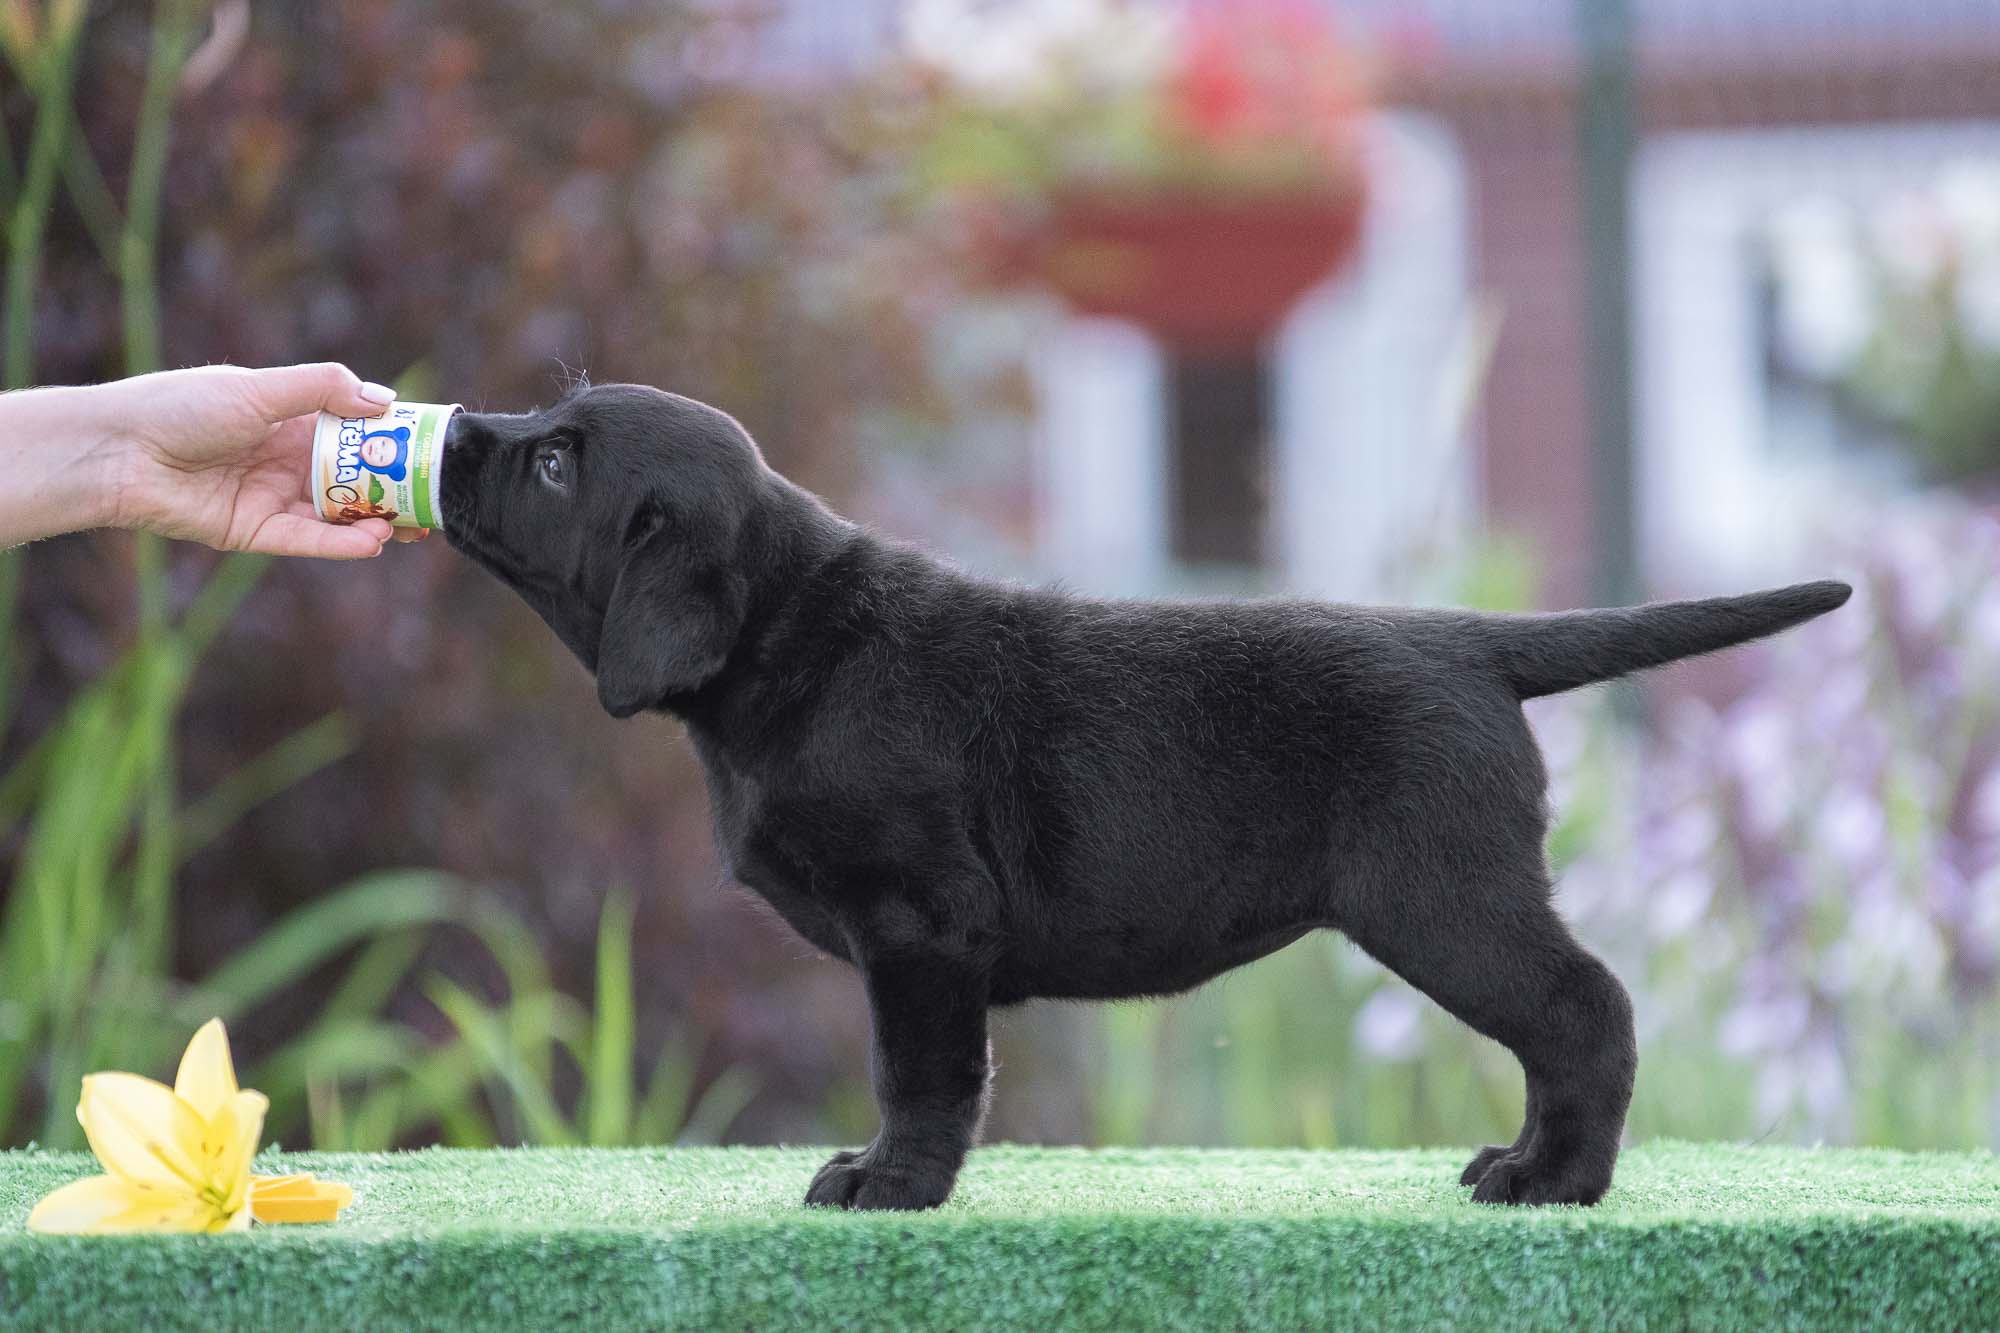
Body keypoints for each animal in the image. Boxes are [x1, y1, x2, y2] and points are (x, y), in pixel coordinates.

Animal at [439, 382, 1850, 1209]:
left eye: (558, 464)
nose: (451, 429)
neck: (791, 637)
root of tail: (1470, 643)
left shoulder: (921, 926)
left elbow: (922, 1074)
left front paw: (891, 1182)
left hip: (1444, 902)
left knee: (1584, 1008)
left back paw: (1554, 1178)